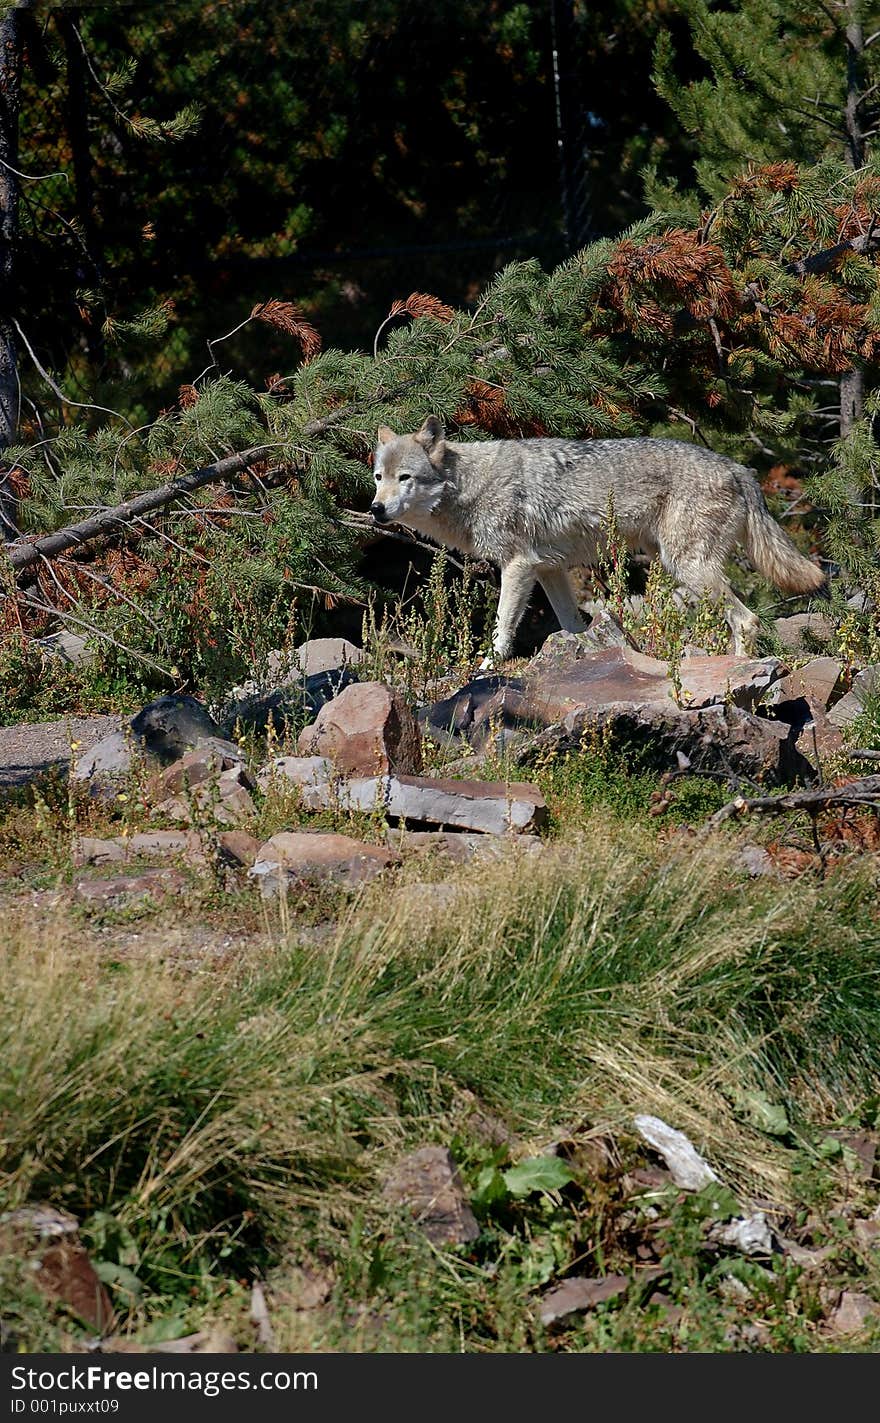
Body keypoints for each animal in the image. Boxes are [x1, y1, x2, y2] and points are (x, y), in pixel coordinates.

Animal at [370, 415, 820, 660]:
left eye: (405, 478)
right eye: (378, 477)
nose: (375, 509)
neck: (469, 485)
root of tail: (739, 468)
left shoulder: (518, 567)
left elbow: (502, 628)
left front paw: (486, 668)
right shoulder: (548, 571)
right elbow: (572, 625)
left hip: (688, 567)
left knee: (747, 620)